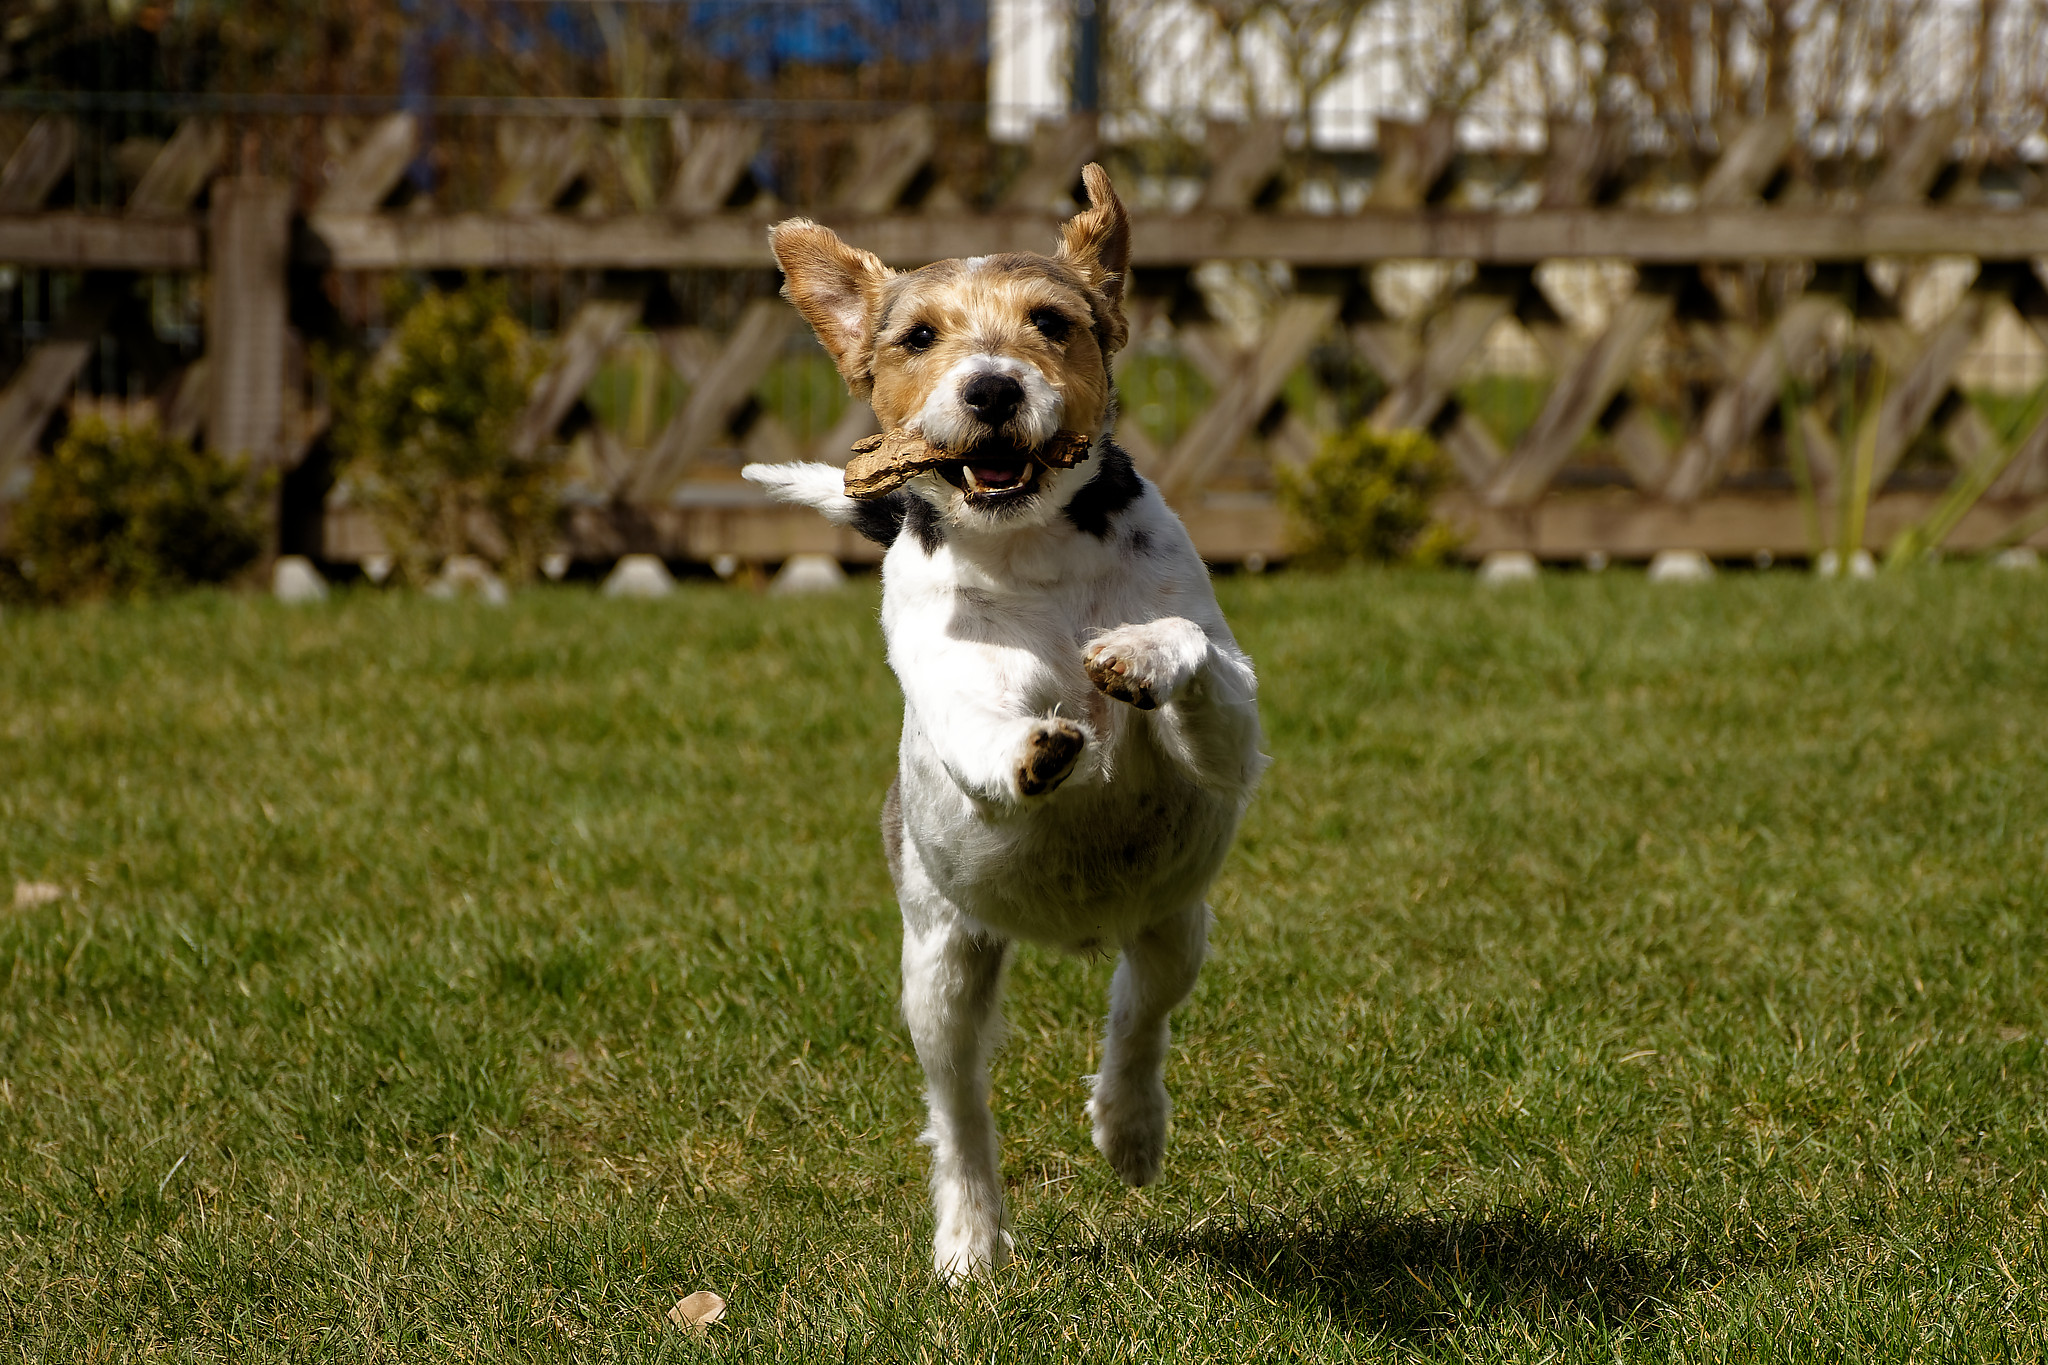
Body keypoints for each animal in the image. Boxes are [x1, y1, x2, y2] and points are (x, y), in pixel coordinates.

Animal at [745, 165, 1253, 1285]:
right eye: (918, 336)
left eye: (1051, 322)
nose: (991, 389)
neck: (1030, 547)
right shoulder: (944, 676)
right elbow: (982, 724)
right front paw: (1036, 743)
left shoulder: (1232, 730)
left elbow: (1189, 659)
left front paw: (1135, 657)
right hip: (939, 963)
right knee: (959, 1107)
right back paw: (969, 1240)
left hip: (1173, 925)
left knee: (1136, 1020)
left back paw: (1128, 1128)